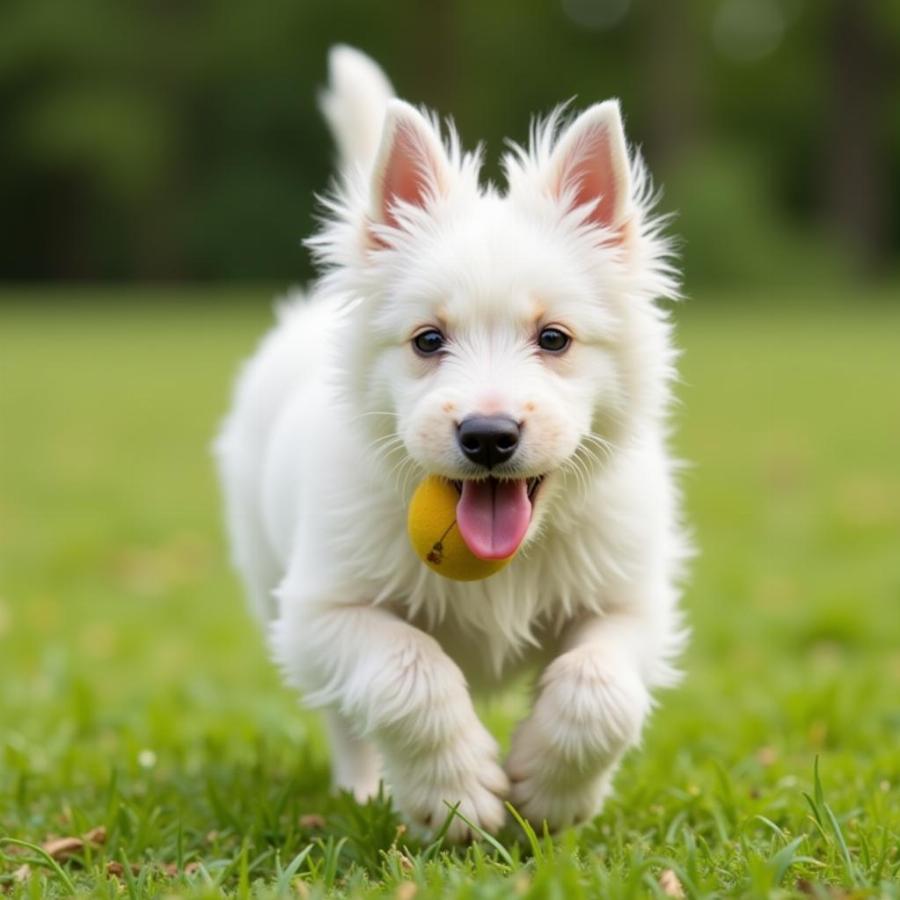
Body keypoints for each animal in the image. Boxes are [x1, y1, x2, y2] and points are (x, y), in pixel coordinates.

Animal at [216, 45, 688, 840]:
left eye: (554, 338)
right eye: (428, 340)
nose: (488, 436)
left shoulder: (632, 601)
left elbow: (600, 689)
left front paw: (551, 793)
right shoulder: (321, 608)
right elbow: (408, 673)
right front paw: (458, 797)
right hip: (268, 572)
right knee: (344, 718)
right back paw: (361, 792)